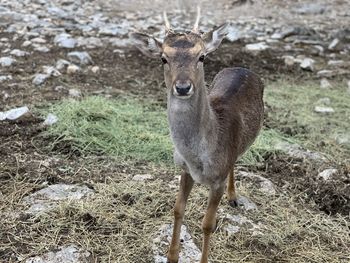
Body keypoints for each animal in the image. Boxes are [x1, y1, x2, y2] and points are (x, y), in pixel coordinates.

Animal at [130, 7, 264, 263]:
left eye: (201, 57)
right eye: (163, 58)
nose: (183, 87)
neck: (199, 157)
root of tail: (243, 68)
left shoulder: (217, 180)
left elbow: (207, 224)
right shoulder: (184, 170)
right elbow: (177, 209)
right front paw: (171, 256)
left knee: (235, 161)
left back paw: (233, 197)